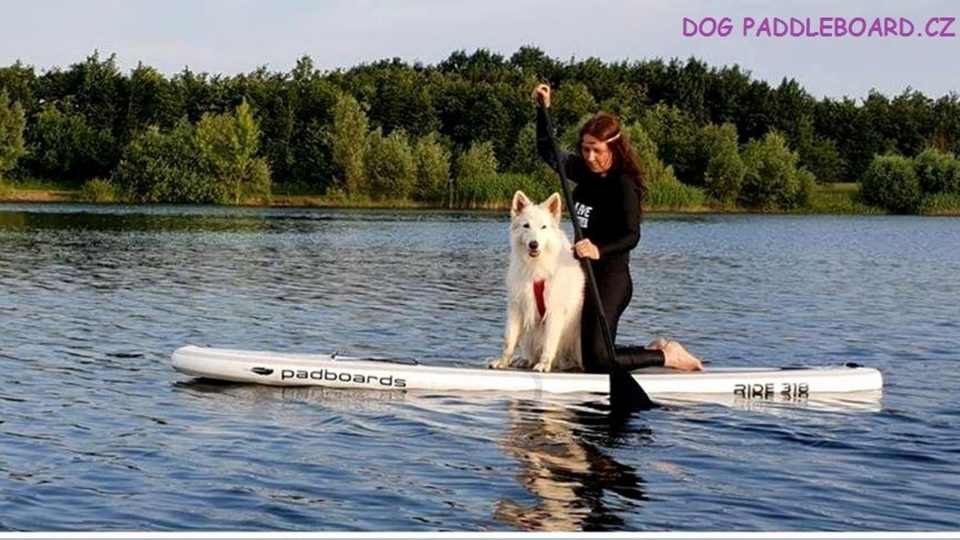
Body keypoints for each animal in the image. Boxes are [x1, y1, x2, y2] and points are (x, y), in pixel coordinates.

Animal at [488, 190, 584, 372]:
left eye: (543, 227)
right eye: (526, 226)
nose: (534, 244)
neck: (536, 270)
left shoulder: (554, 311)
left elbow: (549, 342)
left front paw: (544, 364)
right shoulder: (517, 306)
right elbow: (509, 339)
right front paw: (503, 361)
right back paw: (524, 360)